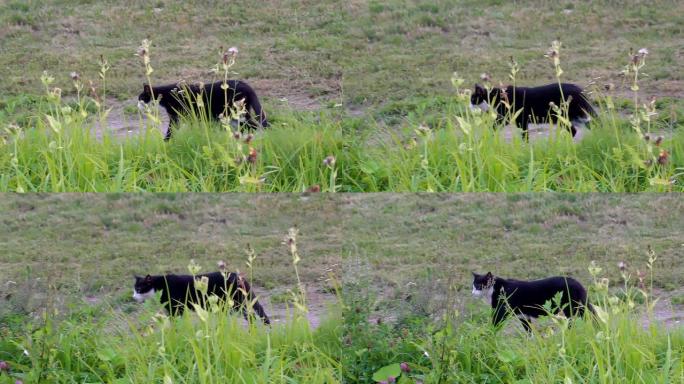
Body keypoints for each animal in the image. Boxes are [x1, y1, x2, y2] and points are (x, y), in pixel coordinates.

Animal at [132, 270, 272, 324]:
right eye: (134, 290)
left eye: (138, 290)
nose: (133, 297)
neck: (161, 286)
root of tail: (238, 276)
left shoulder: (176, 307)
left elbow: (175, 320)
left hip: (235, 303)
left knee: (251, 316)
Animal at [138, 80, 268, 141]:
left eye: (141, 99)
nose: (137, 105)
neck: (165, 96)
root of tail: (247, 86)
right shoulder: (181, 117)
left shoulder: (177, 117)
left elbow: (171, 130)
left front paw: (166, 141)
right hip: (233, 117)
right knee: (249, 127)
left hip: (237, 113)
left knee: (254, 126)